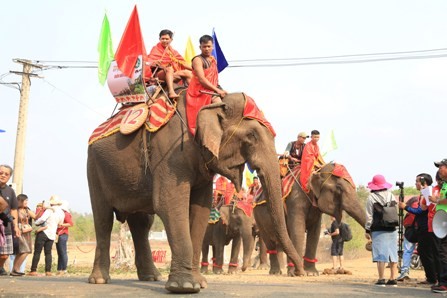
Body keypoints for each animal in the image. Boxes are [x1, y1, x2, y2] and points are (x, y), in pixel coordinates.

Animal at [86, 91, 304, 294]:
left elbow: (201, 209)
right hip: (94, 168)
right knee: (103, 218)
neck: (210, 103)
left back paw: (151, 277)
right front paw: (184, 287)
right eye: (252, 136)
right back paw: (99, 280)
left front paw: (199, 283)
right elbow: (168, 203)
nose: (300, 272)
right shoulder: (170, 154)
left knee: (142, 223)